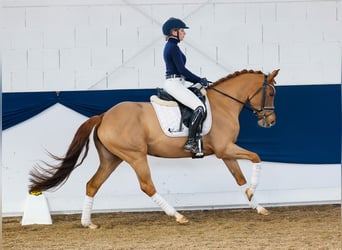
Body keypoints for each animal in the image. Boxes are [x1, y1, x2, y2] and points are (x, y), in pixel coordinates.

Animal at [29, 68, 280, 229]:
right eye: (271, 93)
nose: (270, 121)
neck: (222, 105)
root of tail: (104, 116)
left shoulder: (225, 153)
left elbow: (240, 178)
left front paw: (257, 205)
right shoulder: (225, 148)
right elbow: (256, 157)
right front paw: (253, 193)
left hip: (111, 158)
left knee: (93, 184)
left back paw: (87, 223)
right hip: (135, 156)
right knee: (147, 186)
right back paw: (177, 216)